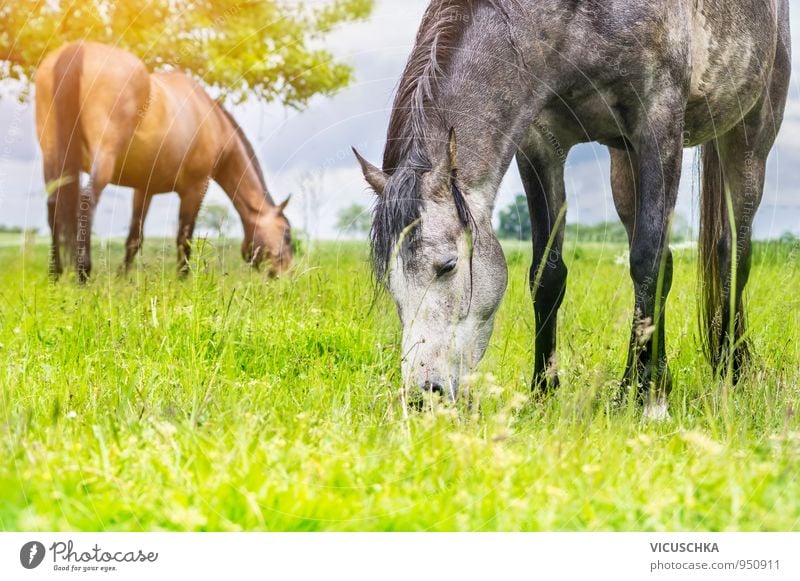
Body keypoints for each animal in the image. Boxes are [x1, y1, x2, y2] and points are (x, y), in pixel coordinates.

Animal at [36, 39, 294, 280]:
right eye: (286, 233)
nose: (285, 276)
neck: (213, 121)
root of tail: (78, 50)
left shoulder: (144, 189)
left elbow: (134, 237)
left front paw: (122, 277)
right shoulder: (195, 188)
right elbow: (184, 237)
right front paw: (183, 278)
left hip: (52, 155)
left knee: (53, 204)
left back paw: (55, 272)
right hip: (103, 156)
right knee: (86, 201)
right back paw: (83, 273)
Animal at [358, 0, 792, 416]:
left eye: (447, 266)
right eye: (391, 283)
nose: (421, 396)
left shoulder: (660, 123)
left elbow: (647, 265)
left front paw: (648, 400)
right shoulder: (539, 142)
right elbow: (547, 274)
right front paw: (544, 392)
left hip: (750, 137)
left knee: (731, 254)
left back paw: (730, 372)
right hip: (624, 162)